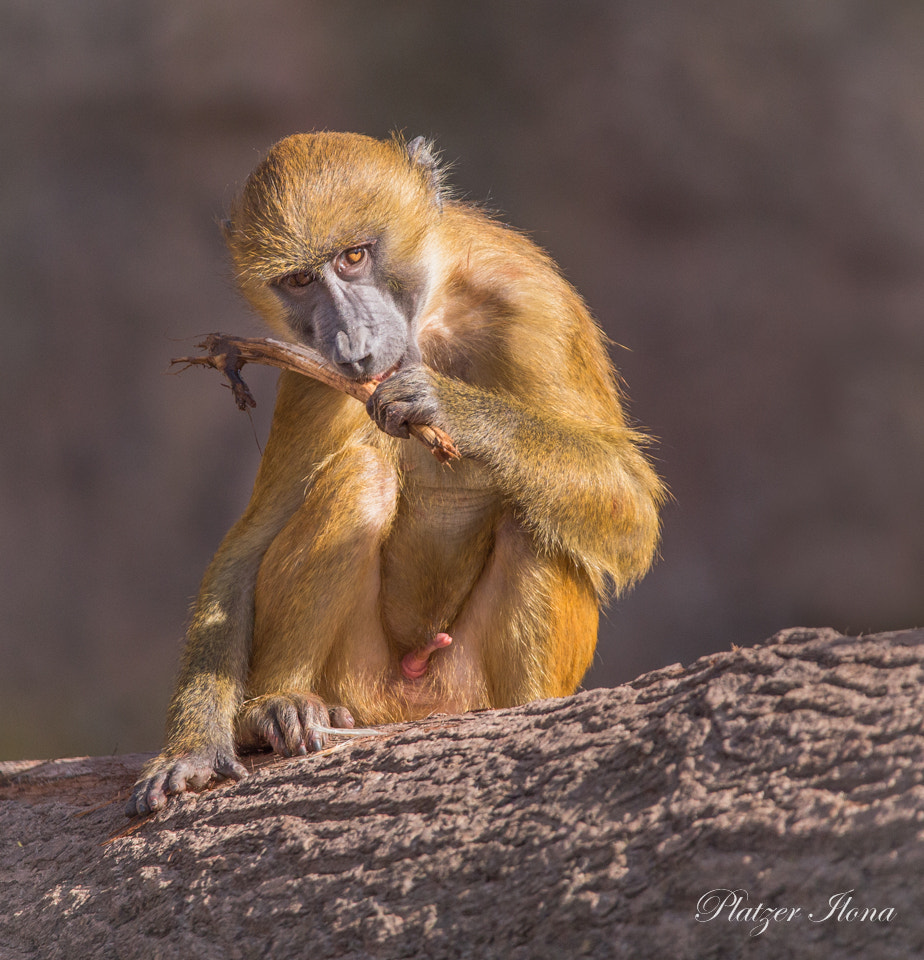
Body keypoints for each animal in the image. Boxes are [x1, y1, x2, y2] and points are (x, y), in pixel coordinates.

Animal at [126, 131, 664, 816]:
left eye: (354, 256)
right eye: (299, 280)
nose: (353, 343)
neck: (427, 319)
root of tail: (417, 705)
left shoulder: (535, 306)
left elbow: (632, 508)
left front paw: (447, 407)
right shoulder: (313, 372)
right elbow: (246, 547)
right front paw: (193, 749)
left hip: (467, 687)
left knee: (533, 516)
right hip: (359, 685)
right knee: (362, 480)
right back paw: (277, 709)